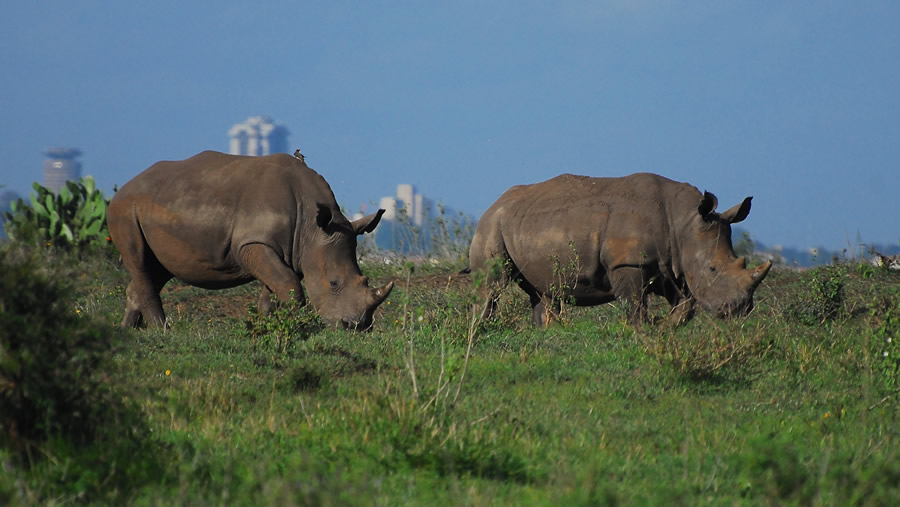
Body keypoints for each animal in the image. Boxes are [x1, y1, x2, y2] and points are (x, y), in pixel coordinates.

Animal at [107, 150, 392, 334]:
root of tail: (124, 187)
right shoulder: (253, 244)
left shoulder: (288, 249)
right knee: (139, 261)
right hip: (125, 209)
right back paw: (162, 331)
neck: (312, 226)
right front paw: (298, 325)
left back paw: (128, 331)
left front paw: (267, 325)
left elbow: (276, 287)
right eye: (333, 283)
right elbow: (288, 283)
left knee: (156, 269)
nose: (357, 327)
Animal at [468, 174, 768, 326]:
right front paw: (643, 331)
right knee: (493, 285)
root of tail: (495, 203)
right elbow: (634, 305)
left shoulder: (672, 266)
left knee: (542, 292)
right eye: (712, 268)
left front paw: (665, 327)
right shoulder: (628, 263)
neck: (683, 221)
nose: (740, 310)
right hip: (492, 224)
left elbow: (685, 305)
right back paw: (482, 330)